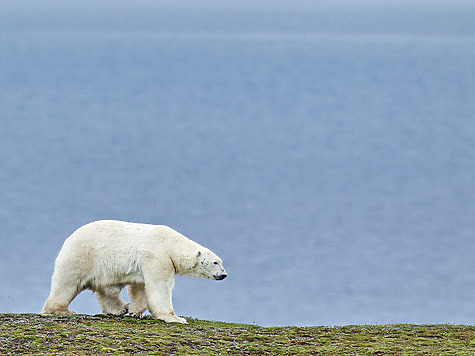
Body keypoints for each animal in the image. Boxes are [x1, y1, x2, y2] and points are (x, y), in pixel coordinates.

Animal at [40, 220, 227, 322]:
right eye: (215, 262)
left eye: (221, 261)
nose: (224, 275)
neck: (170, 243)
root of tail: (69, 239)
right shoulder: (157, 256)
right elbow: (159, 286)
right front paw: (176, 318)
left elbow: (140, 288)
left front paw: (134, 310)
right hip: (83, 256)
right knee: (67, 283)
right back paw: (61, 310)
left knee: (107, 290)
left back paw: (120, 308)